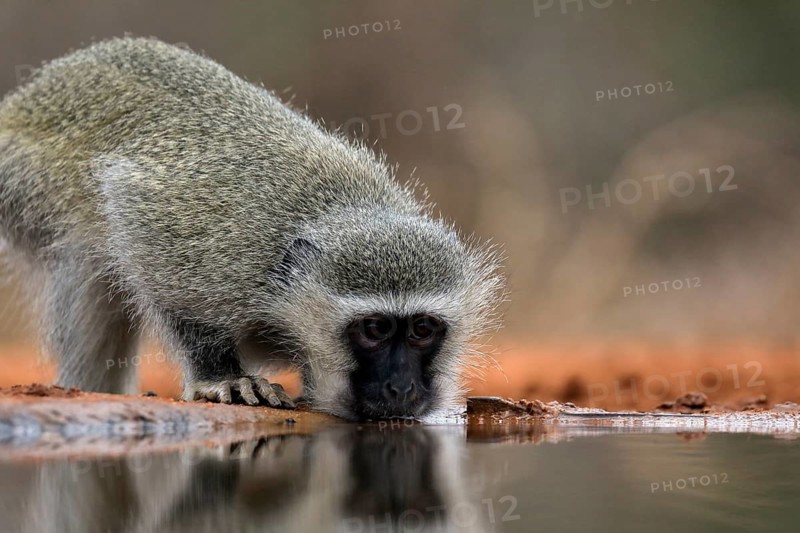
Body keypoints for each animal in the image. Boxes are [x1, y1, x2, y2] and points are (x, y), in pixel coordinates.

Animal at [0, 37, 504, 420]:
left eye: (423, 330)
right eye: (375, 330)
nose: (401, 389)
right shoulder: (207, 240)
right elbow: (146, 246)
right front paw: (220, 377)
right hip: (25, 182)